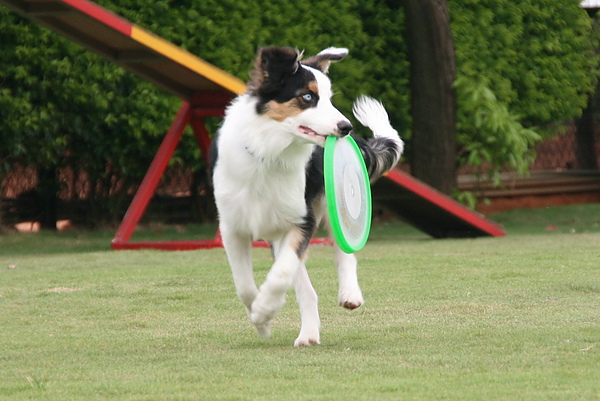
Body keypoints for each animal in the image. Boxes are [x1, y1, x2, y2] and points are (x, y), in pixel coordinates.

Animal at [211, 47, 404, 346]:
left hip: (334, 200)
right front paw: (262, 320)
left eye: (329, 98)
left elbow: (280, 274)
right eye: (308, 97)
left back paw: (349, 294)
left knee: (343, 249)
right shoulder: (233, 227)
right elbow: (244, 285)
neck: (270, 154)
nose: (346, 126)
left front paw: (265, 309)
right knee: (305, 289)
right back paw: (309, 334)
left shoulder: (301, 221)